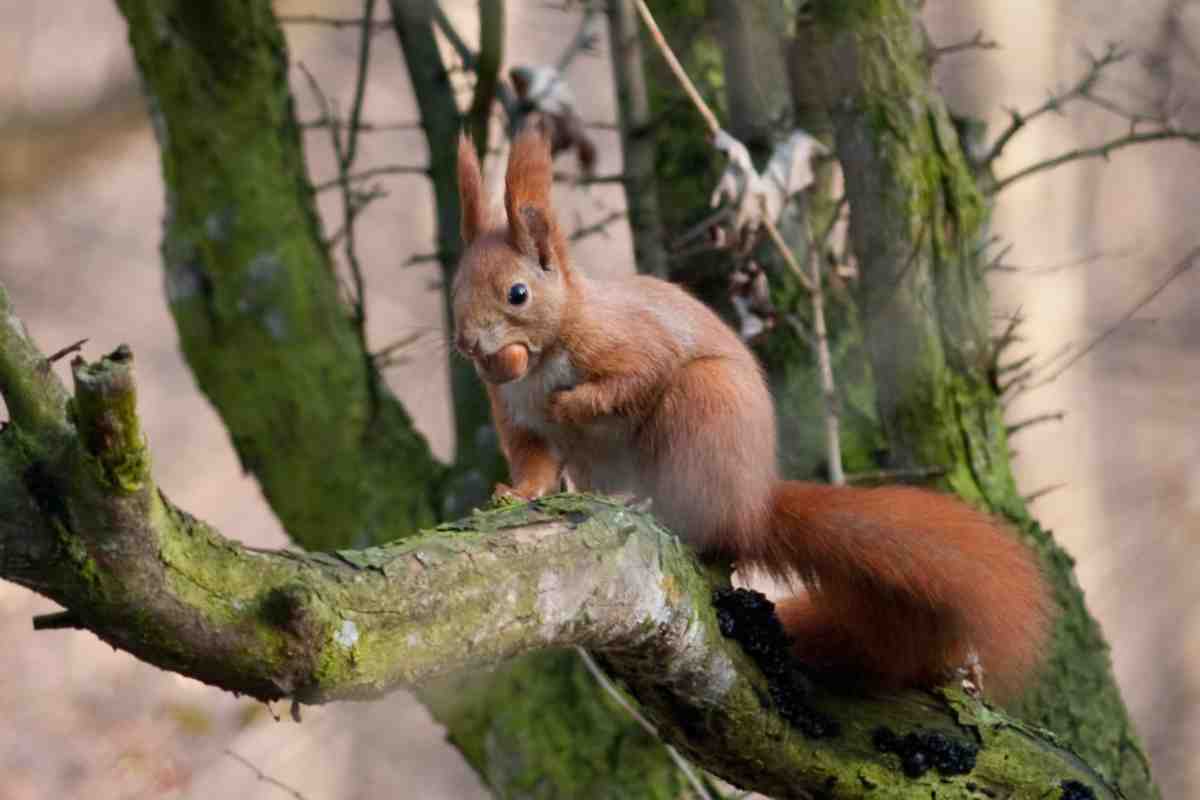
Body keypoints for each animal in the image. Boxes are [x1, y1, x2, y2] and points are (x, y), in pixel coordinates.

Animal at [451, 129, 1052, 700]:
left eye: (518, 293)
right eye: (455, 287)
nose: (466, 344)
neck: (537, 361)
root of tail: (753, 505)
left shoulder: (628, 340)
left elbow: (635, 378)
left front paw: (572, 402)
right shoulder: (516, 417)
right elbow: (534, 462)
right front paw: (515, 493)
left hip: (705, 403)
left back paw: (651, 503)